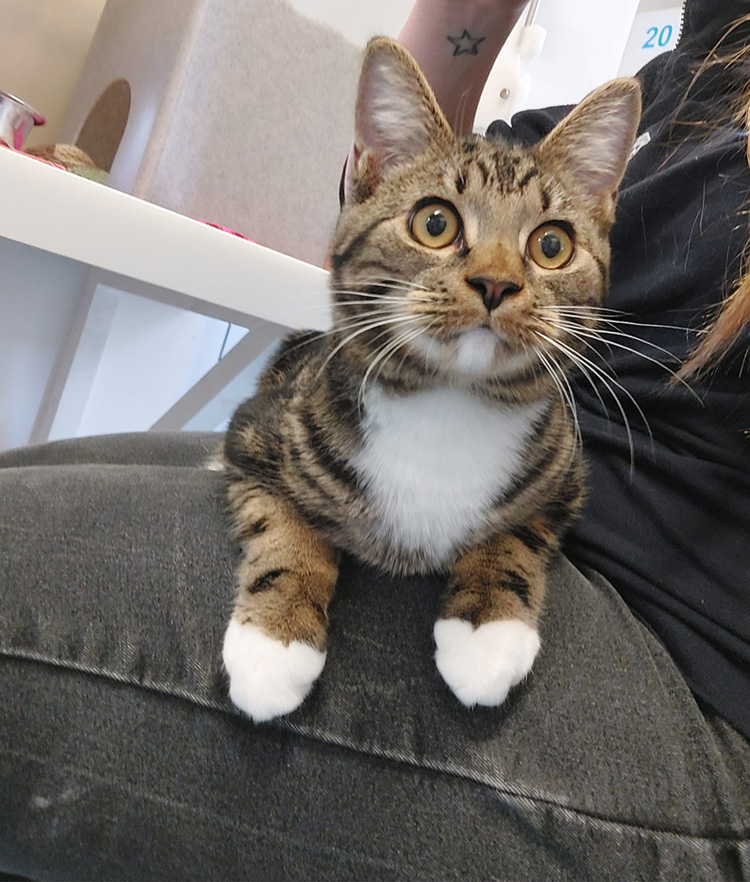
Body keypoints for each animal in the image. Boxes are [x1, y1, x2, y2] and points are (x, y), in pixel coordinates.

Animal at [219, 37, 640, 720]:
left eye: (551, 245)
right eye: (435, 223)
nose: (496, 284)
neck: (448, 404)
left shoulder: (565, 479)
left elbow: (518, 535)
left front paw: (488, 628)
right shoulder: (253, 436)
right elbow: (283, 523)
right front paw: (275, 640)